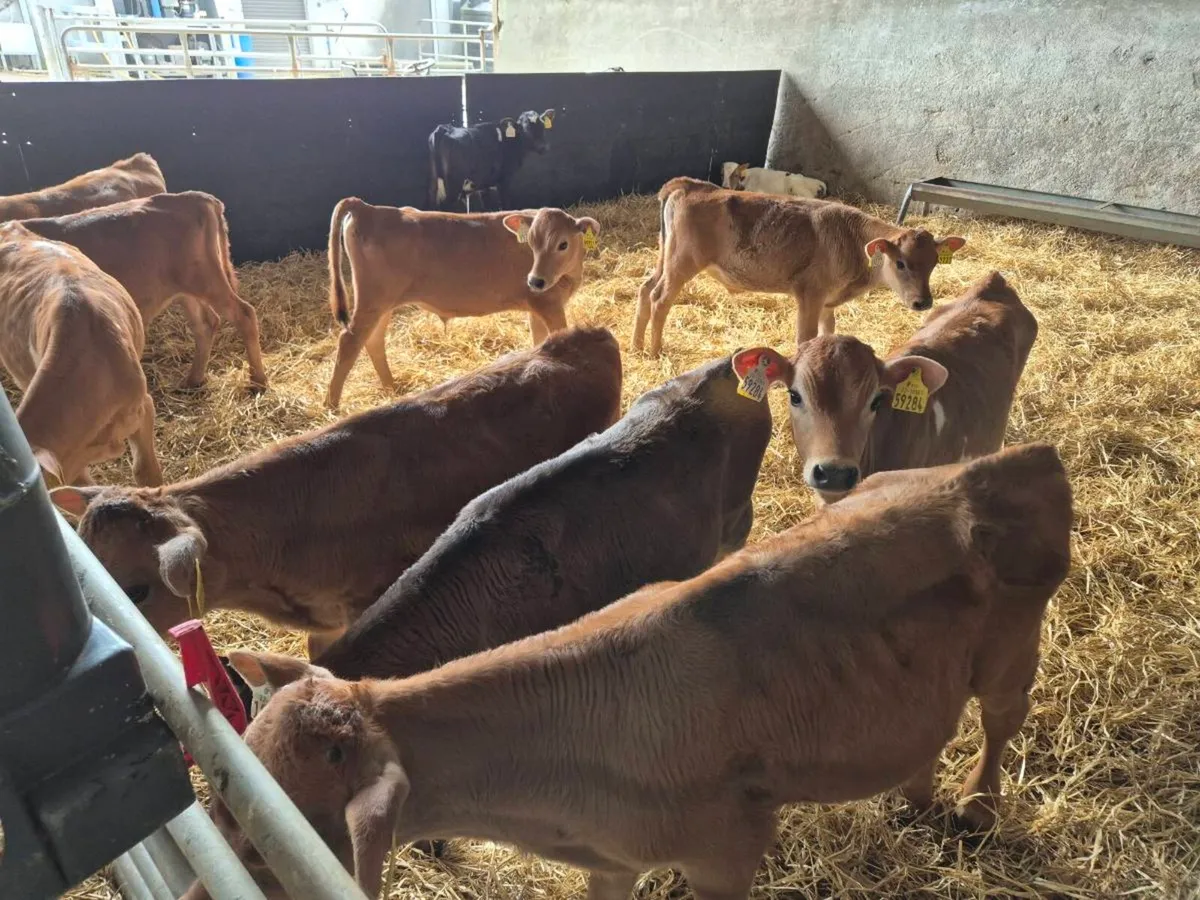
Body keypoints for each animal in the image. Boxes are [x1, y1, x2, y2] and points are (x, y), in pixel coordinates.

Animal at [19, 191, 268, 391]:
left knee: (244, 314)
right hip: (186, 290)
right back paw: (193, 380)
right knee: (206, 324)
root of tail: (196, 197)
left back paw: (258, 381)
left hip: (205, 280)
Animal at [184, 442, 1073, 900]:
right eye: (219, 811)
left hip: (1014, 646)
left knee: (999, 721)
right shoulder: (609, 858)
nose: (204, 884)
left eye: (268, 845)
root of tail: (1008, 460)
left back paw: (974, 806)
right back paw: (916, 799)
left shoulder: (727, 849)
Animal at [324, 197, 598, 409]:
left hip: (383, 304)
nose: (535, 280)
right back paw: (332, 405)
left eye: (563, 244)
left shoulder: (536, 306)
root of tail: (367, 208)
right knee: (349, 341)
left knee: (373, 341)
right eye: (531, 243)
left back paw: (392, 388)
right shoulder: (549, 305)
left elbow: (539, 342)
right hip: (373, 298)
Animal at [633, 176, 966, 357]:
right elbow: (804, 337)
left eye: (934, 264)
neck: (852, 239)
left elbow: (828, 331)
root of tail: (691, 185)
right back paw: (655, 351)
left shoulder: (828, 302)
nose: (923, 302)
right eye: (900, 263)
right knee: (660, 298)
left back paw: (637, 347)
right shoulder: (810, 294)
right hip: (682, 262)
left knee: (645, 289)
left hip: (664, 256)